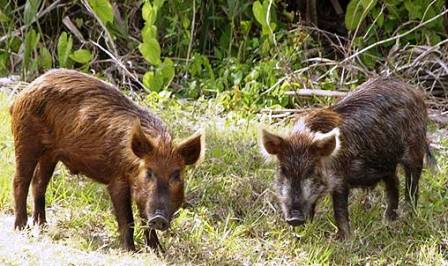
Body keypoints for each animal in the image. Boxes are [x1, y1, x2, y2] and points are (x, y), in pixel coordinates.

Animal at [9, 68, 205, 251]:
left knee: (39, 183)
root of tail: (25, 91)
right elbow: (127, 219)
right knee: (20, 181)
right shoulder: (117, 180)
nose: (159, 218)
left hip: (50, 154)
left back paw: (42, 225)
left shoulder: (141, 193)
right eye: (148, 172)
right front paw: (130, 251)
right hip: (25, 139)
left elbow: (144, 218)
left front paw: (158, 251)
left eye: (177, 175)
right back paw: (21, 228)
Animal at [260, 77, 434, 239]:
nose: (294, 218)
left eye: (311, 170)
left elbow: (340, 210)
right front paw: (302, 233)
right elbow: (312, 206)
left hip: (415, 150)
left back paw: (408, 216)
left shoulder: (340, 179)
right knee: (394, 183)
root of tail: (415, 91)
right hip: (386, 163)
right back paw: (388, 220)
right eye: (283, 170)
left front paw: (342, 239)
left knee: (412, 185)